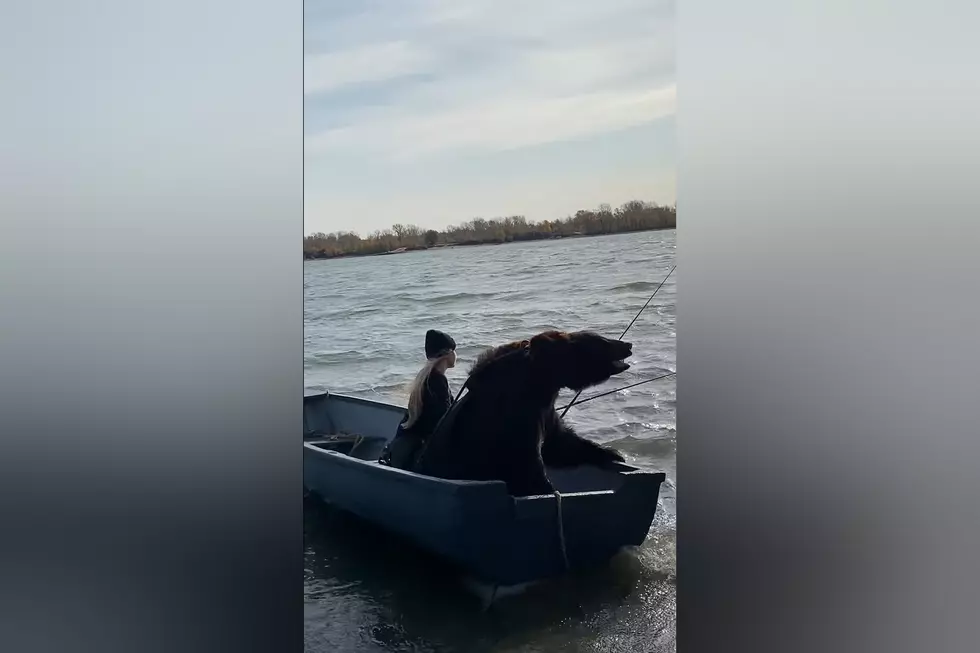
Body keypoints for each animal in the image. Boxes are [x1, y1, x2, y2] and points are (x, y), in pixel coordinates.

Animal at [412, 328, 628, 496]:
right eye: (602, 341)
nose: (628, 344)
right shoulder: (513, 421)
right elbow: (529, 465)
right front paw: (546, 489)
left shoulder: (544, 413)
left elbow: (561, 443)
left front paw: (612, 453)